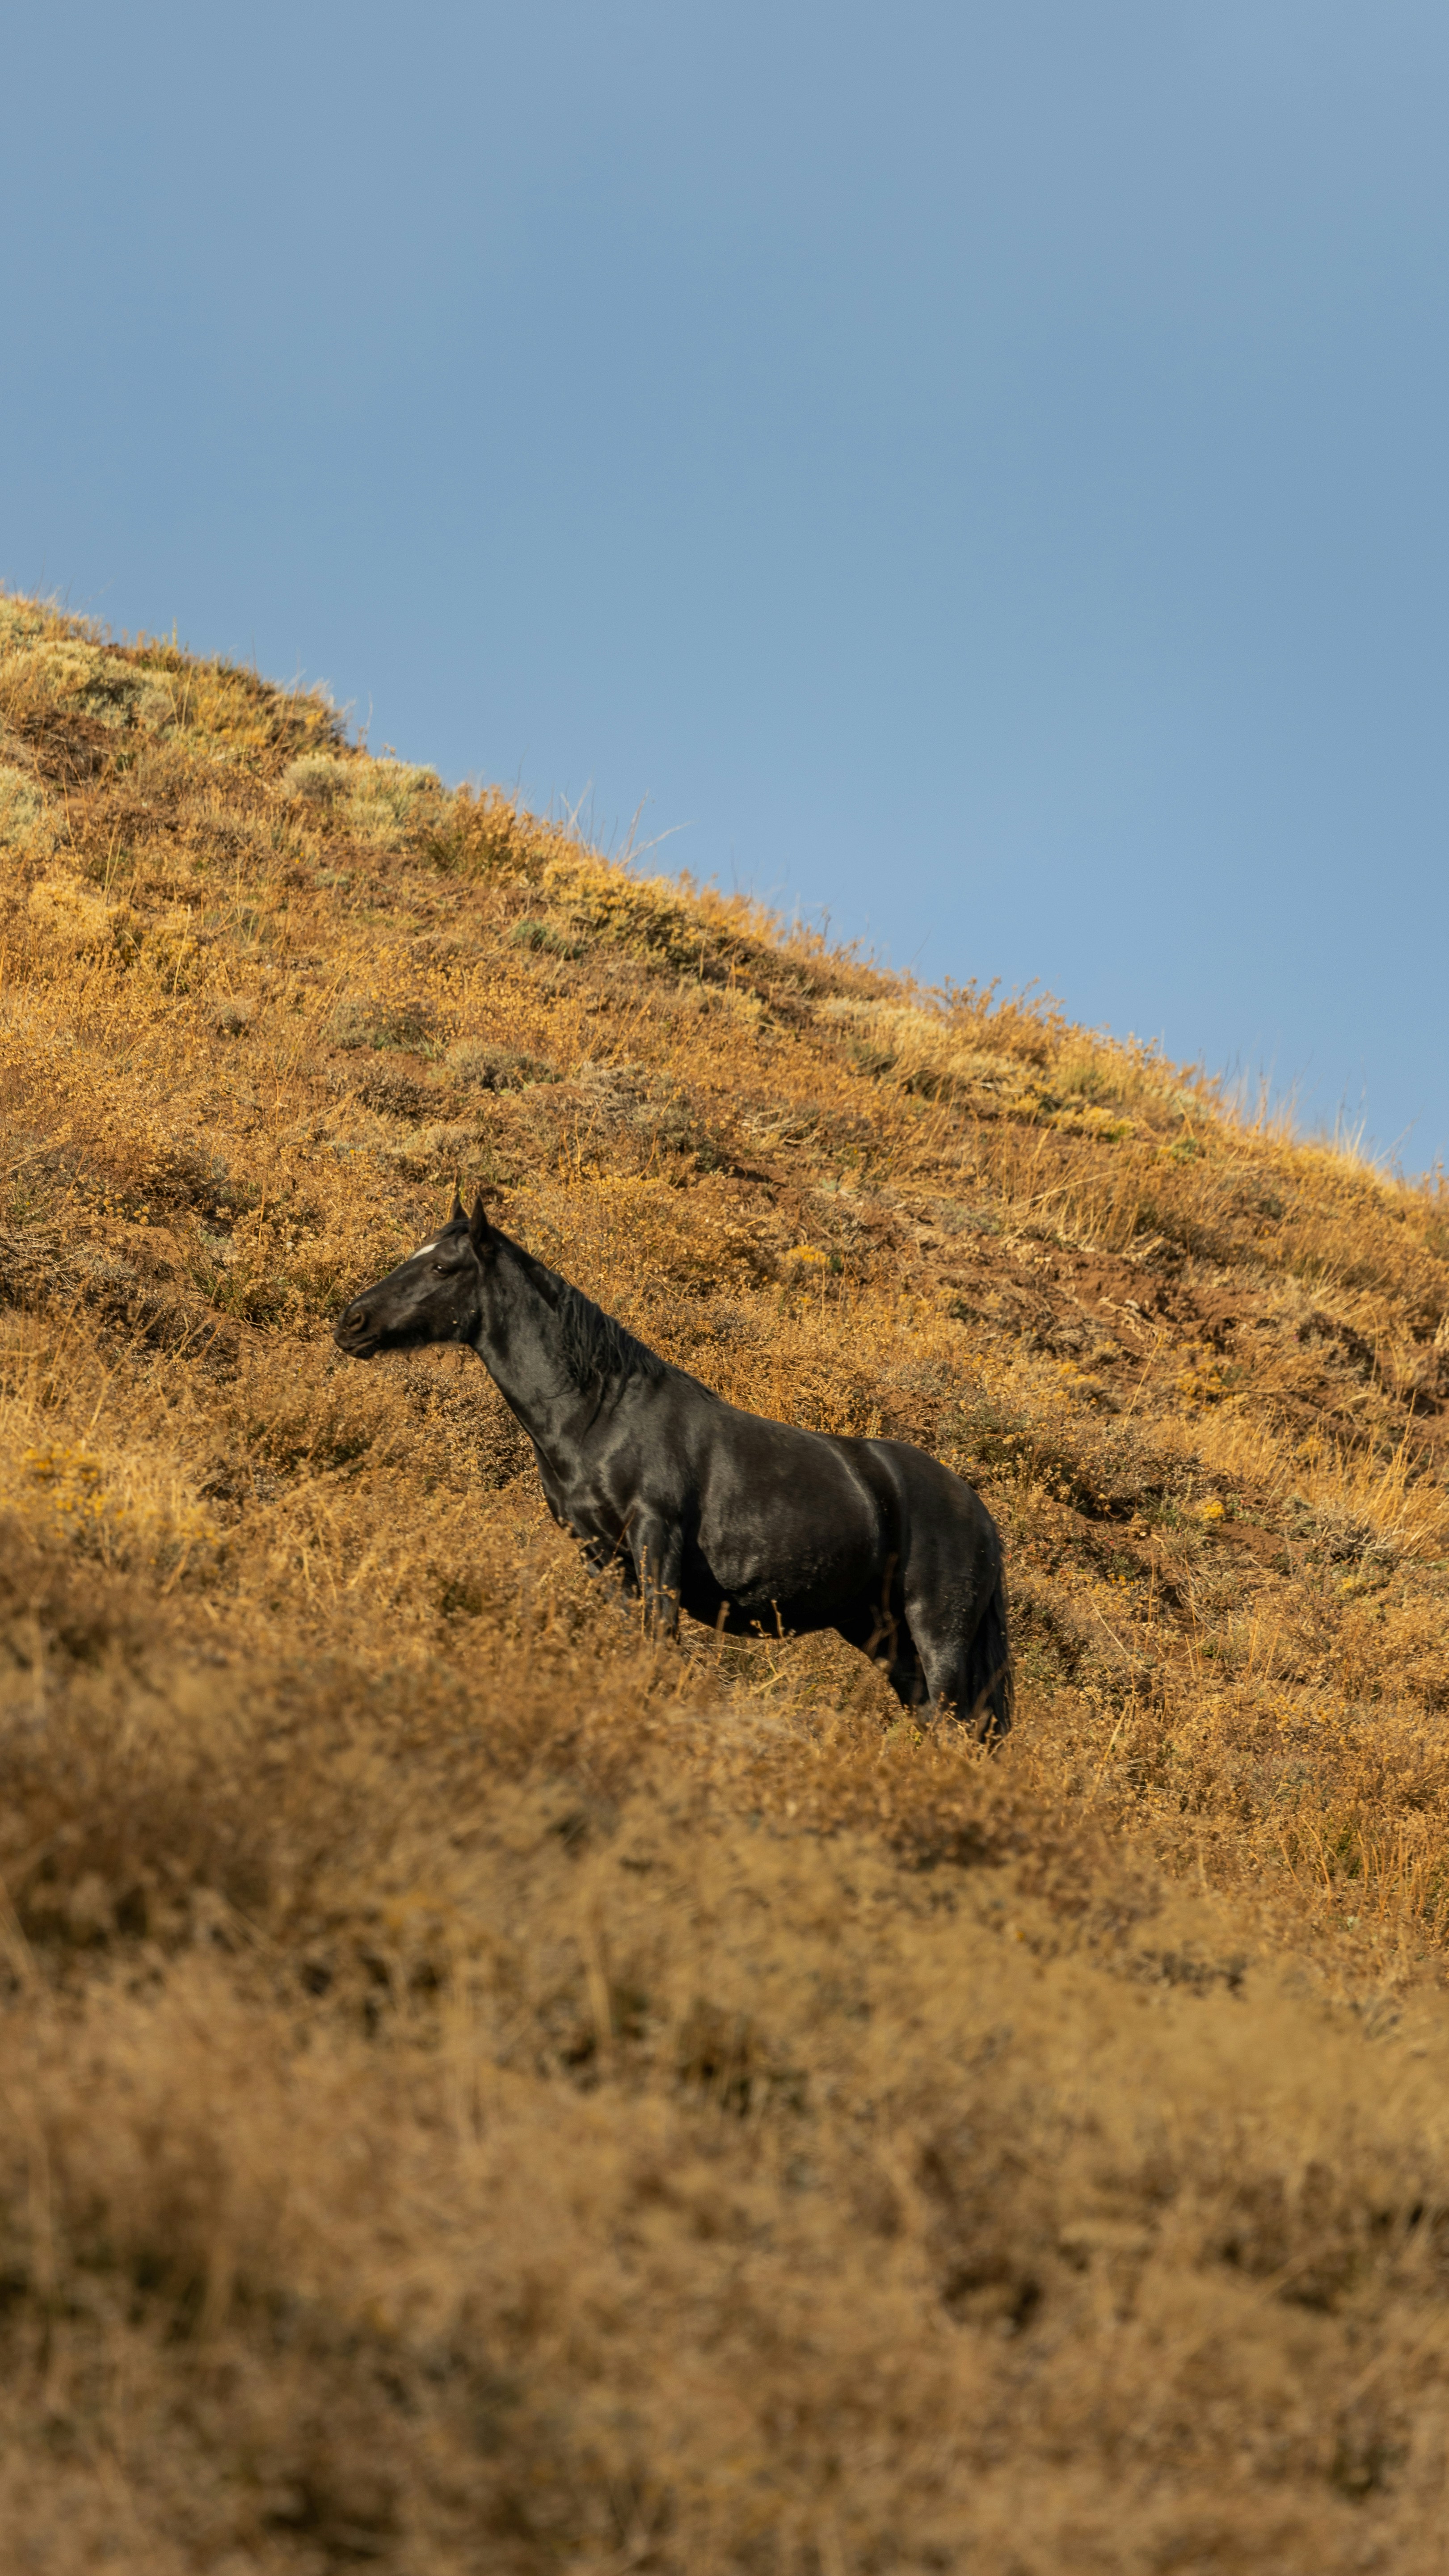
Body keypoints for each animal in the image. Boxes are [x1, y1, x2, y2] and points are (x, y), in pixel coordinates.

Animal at [333, 1191, 1012, 1739]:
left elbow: (660, 1642)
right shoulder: (598, 1553)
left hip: (935, 1630)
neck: (600, 1414)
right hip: (880, 1634)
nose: (351, 1323)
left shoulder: (654, 1538)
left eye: (442, 1266)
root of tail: (978, 1514)